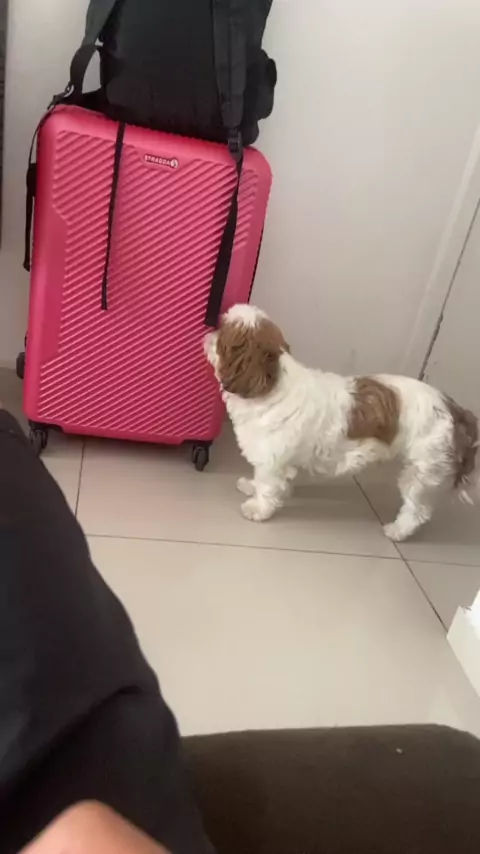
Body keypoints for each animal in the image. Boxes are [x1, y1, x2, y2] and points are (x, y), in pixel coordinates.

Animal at [205, 304, 479, 541]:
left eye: (222, 335)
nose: (208, 333)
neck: (270, 384)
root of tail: (453, 408)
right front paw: (252, 486)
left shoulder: (271, 461)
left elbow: (267, 486)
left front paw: (258, 508)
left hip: (422, 470)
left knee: (417, 510)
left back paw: (397, 531)